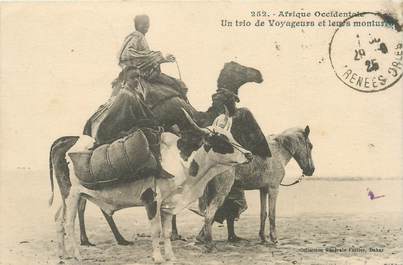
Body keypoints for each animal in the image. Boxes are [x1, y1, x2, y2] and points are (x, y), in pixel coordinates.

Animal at [52, 109, 251, 262]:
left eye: (232, 136)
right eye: (222, 140)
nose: (249, 154)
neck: (179, 160)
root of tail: (65, 141)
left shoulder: (169, 204)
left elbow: (167, 232)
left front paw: (171, 257)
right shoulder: (152, 200)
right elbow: (156, 231)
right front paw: (158, 258)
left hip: (67, 197)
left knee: (58, 220)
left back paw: (63, 254)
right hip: (72, 195)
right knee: (68, 223)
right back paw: (77, 256)